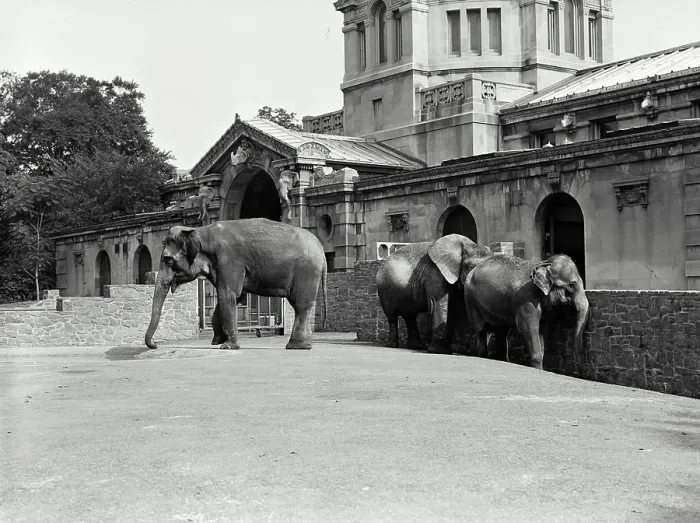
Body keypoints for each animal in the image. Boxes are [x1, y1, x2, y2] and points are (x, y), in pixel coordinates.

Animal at [144, 218, 327, 351]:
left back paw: (295, 346)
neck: (201, 231)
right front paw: (217, 341)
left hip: (306, 271)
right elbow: (234, 297)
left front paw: (227, 346)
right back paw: (303, 346)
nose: (155, 345)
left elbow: (227, 295)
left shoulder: (229, 260)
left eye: (168, 260)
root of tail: (321, 249)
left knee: (301, 305)